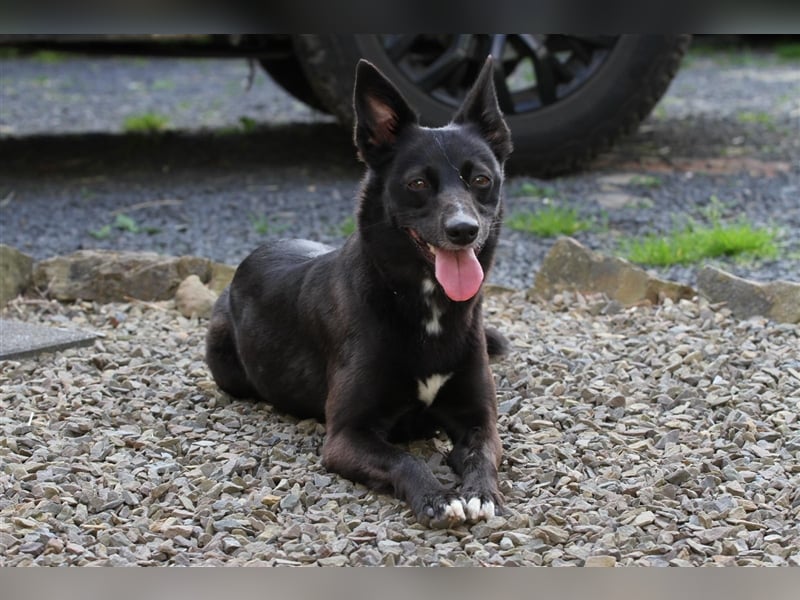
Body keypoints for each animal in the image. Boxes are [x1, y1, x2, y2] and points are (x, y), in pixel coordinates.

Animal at [206, 56, 512, 524]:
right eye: (417, 184)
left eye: (479, 180)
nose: (464, 230)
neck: (423, 307)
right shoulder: (346, 436)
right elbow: (404, 459)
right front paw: (438, 496)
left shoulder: (480, 420)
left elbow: (482, 453)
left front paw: (480, 492)